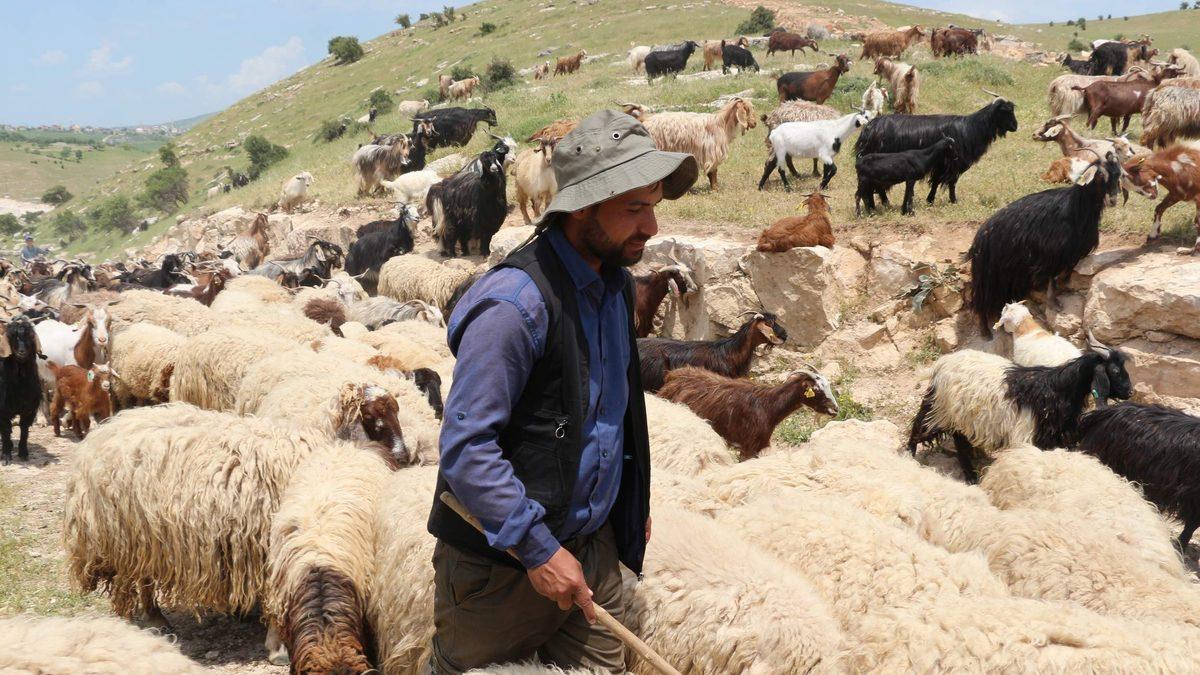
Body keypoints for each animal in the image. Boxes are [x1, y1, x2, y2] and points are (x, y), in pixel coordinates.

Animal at [855, 92, 1018, 205]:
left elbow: (937, 182)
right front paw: (951, 200)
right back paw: (885, 202)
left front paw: (931, 200)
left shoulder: (943, 163)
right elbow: (948, 182)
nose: (1015, 126)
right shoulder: (951, 163)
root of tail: (869, 129)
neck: (970, 128)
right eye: (1005, 111)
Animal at [908, 342, 1132, 483]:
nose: (1130, 392)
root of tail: (942, 362)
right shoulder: (1025, 436)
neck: (1055, 390)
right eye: (1115, 371)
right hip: (937, 406)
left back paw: (971, 475)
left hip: (959, 414)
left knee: (959, 439)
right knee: (919, 427)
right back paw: (909, 457)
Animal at [968, 151, 1123, 336]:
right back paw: (985, 332)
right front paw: (1054, 303)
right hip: (986, 273)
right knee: (979, 299)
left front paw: (1064, 285)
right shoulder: (1050, 253)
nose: (1113, 200)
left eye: (1118, 175)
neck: (1075, 208)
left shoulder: (1073, 251)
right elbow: (1050, 278)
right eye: (1100, 174)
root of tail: (980, 236)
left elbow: (1066, 271)